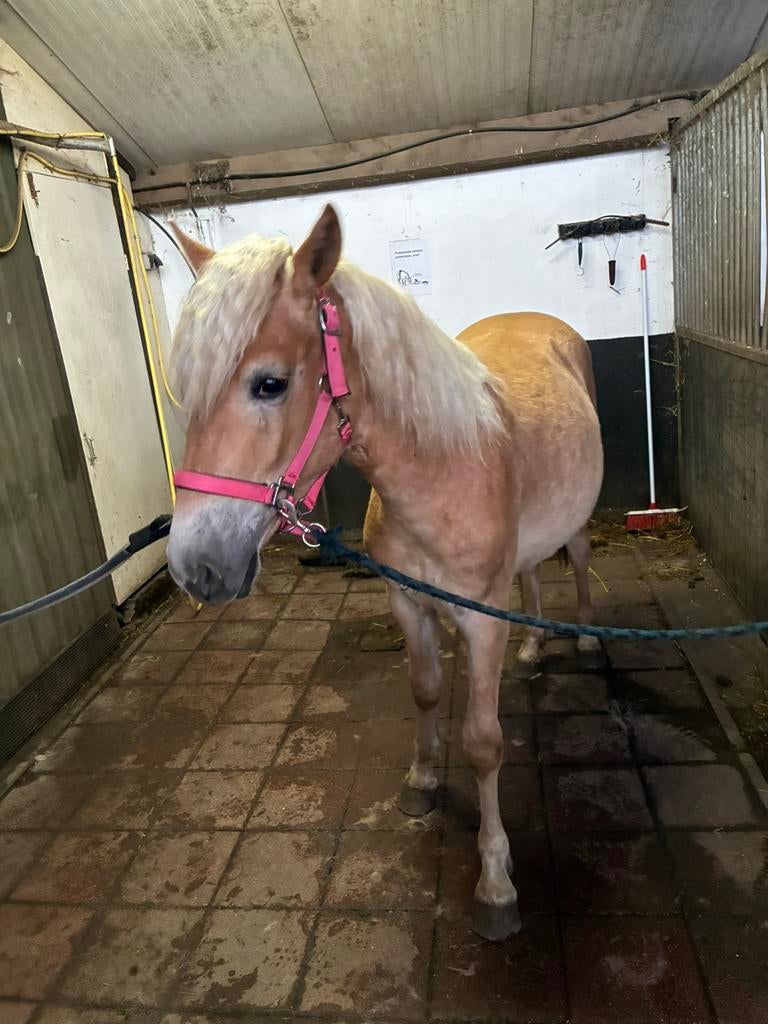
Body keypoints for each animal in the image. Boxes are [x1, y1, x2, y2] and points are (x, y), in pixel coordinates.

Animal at [166, 204, 604, 941]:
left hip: (573, 523)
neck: (442, 470)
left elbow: (484, 743)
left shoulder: (481, 623)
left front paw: (495, 883)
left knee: (574, 559)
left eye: (269, 383)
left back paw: (588, 639)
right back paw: (534, 648)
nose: (194, 566)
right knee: (533, 576)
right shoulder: (408, 603)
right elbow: (424, 692)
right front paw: (422, 782)